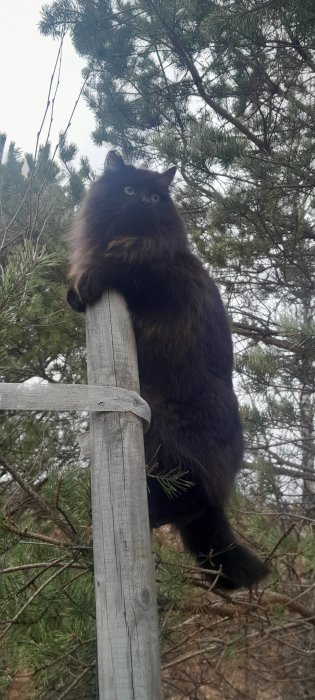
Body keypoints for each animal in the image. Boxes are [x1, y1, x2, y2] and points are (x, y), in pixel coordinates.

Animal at [67, 153, 270, 592]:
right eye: (129, 190)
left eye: (156, 197)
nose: (144, 203)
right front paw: (74, 293)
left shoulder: (157, 268)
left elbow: (120, 266)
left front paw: (89, 280)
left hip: (172, 440)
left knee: (192, 500)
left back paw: (155, 514)